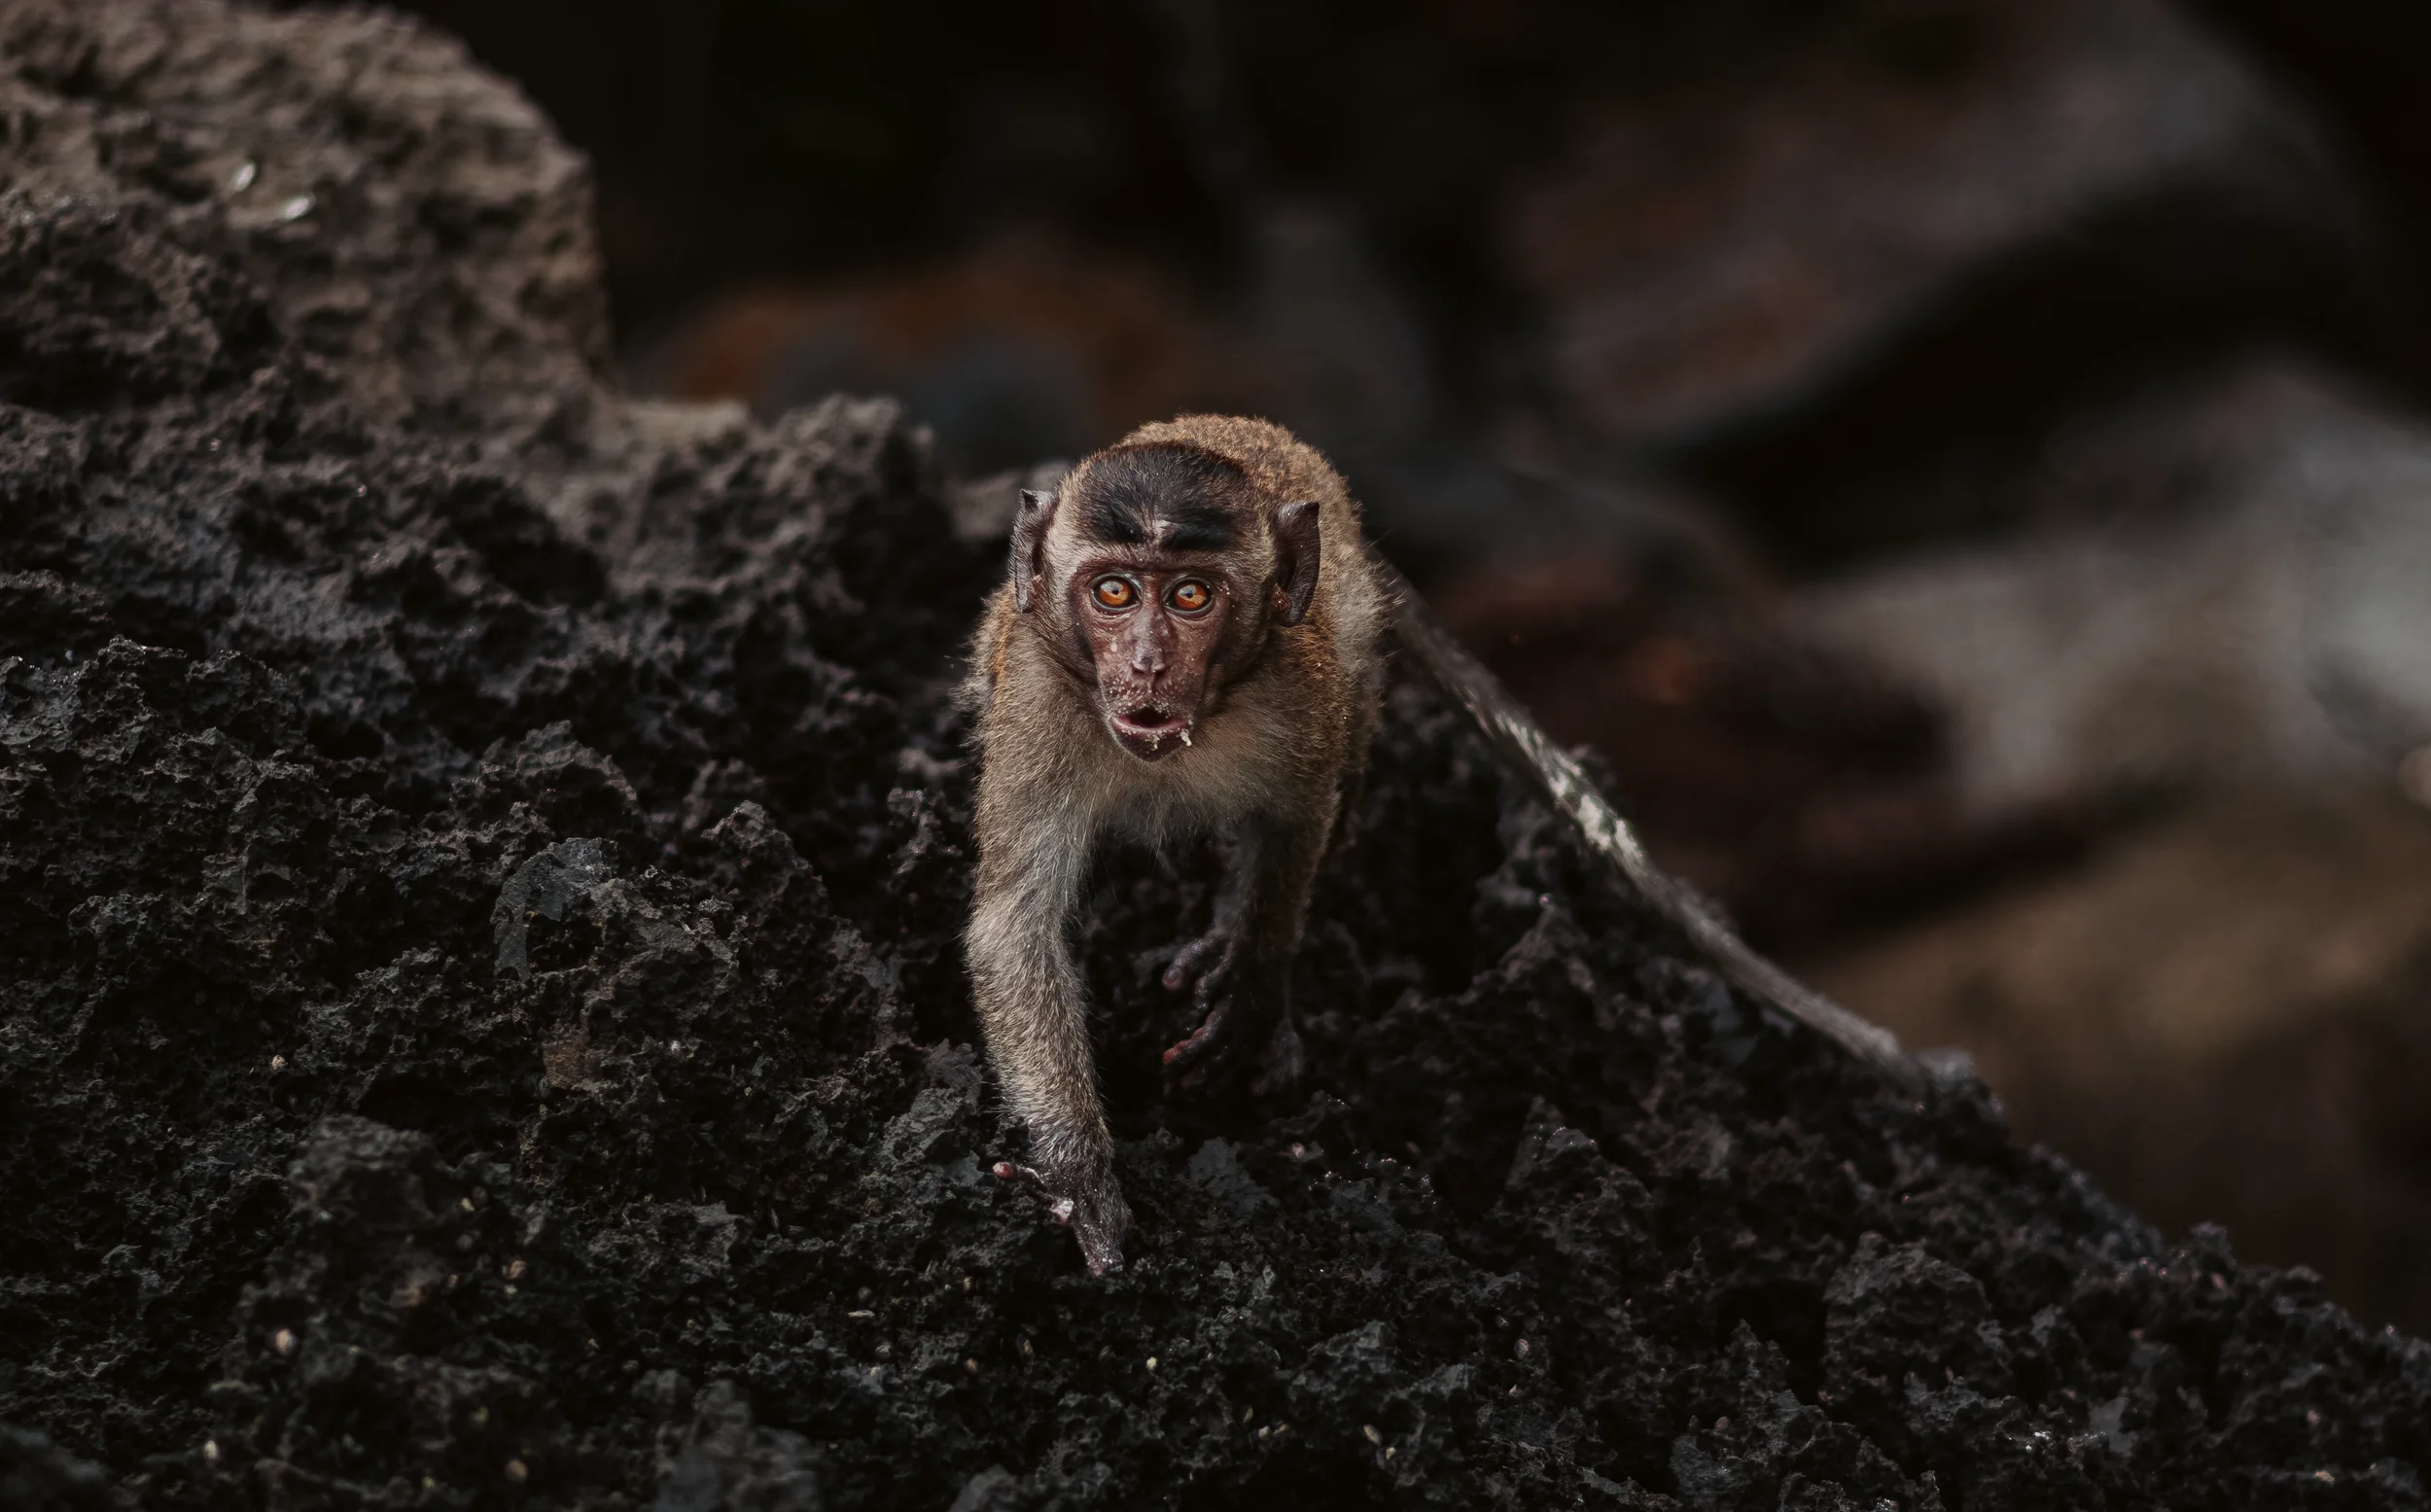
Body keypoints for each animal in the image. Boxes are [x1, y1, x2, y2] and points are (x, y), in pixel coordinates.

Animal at [961, 415, 1387, 1274]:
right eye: (1114, 592)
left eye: (1191, 595)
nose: (1148, 664)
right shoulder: (1035, 702)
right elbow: (1014, 926)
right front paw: (1080, 1176)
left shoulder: (1300, 685)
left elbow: (1297, 822)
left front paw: (1249, 982)